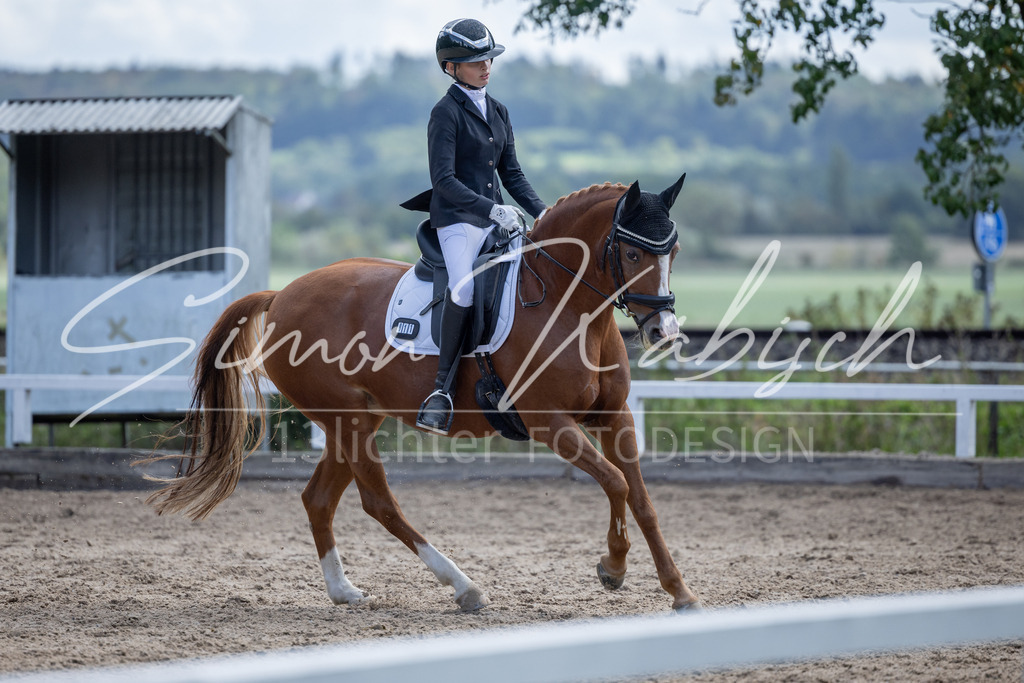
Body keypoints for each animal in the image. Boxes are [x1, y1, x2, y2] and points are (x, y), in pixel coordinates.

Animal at [144, 174, 703, 612]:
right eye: (632, 251)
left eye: (673, 251)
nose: (664, 331)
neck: (568, 305)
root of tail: (281, 294)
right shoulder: (550, 424)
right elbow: (615, 483)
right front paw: (613, 566)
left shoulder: (616, 418)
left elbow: (642, 499)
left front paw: (680, 592)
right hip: (347, 420)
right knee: (378, 502)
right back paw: (463, 586)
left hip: (353, 420)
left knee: (319, 498)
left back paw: (344, 591)